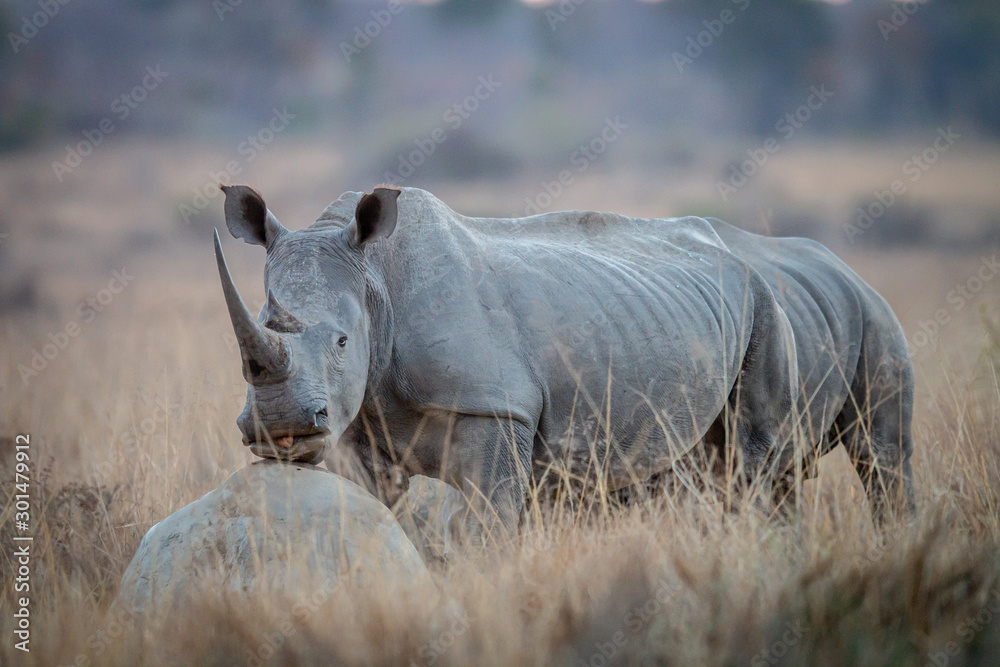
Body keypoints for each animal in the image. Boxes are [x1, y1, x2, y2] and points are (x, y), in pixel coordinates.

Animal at [213, 184, 915, 539]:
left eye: (341, 343)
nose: (280, 426)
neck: (376, 284)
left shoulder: (498, 410)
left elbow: (485, 524)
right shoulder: (360, 423)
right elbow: (370, 514)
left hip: (800, 308)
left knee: (818, 460)